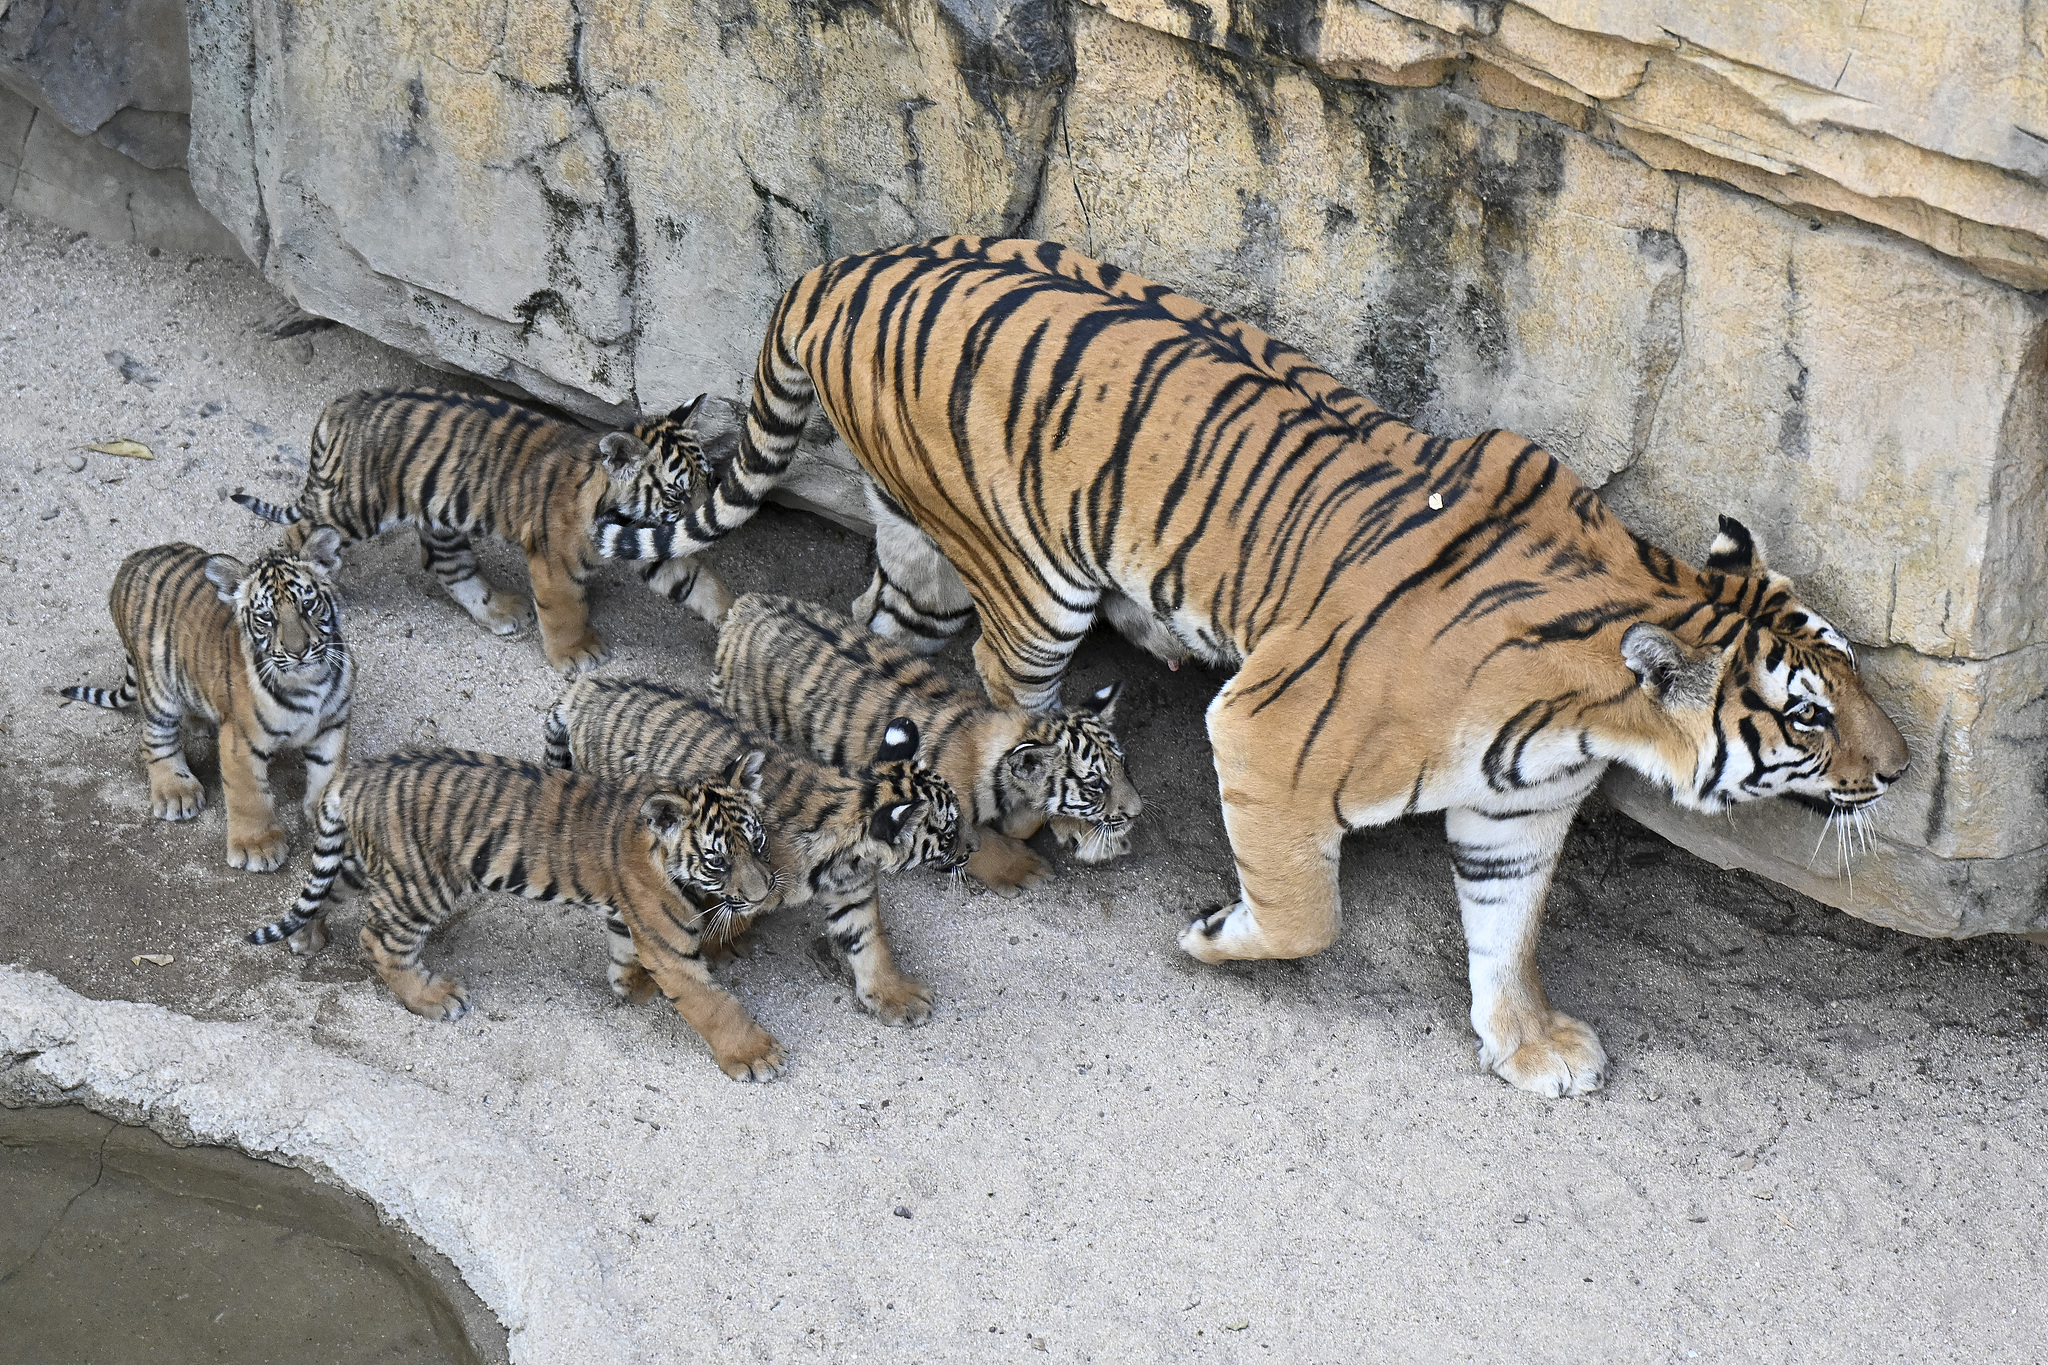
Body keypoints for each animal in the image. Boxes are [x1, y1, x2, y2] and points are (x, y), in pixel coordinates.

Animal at [618, 237, 1900, 1096]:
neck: (1586, 711)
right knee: (1003, 696)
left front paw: (1527, 1043)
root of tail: (842, 266)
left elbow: (1508, 931)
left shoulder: (1516, 810)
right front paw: (1212, 932)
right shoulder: (1265, 733)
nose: (1895, 769)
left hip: (920, 549)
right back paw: (1049, 833)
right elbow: (1304, 914)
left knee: (874, 627)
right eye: (1804, 718)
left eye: (1853, 684)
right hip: (1031, 585)